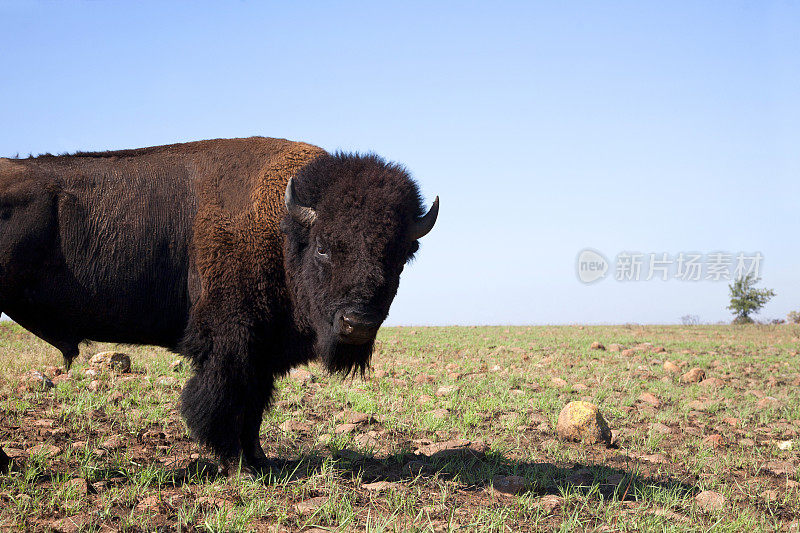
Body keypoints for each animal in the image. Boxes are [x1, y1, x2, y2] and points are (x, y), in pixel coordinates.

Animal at [0, 136, 438, 470]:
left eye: (400, 254)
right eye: (323, 248)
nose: (357, 323)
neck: (282, 228)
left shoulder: (263, 352)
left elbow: (254, 407)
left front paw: (259, 460)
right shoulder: (231, 344)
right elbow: (223, 400)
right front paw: (236, 464)